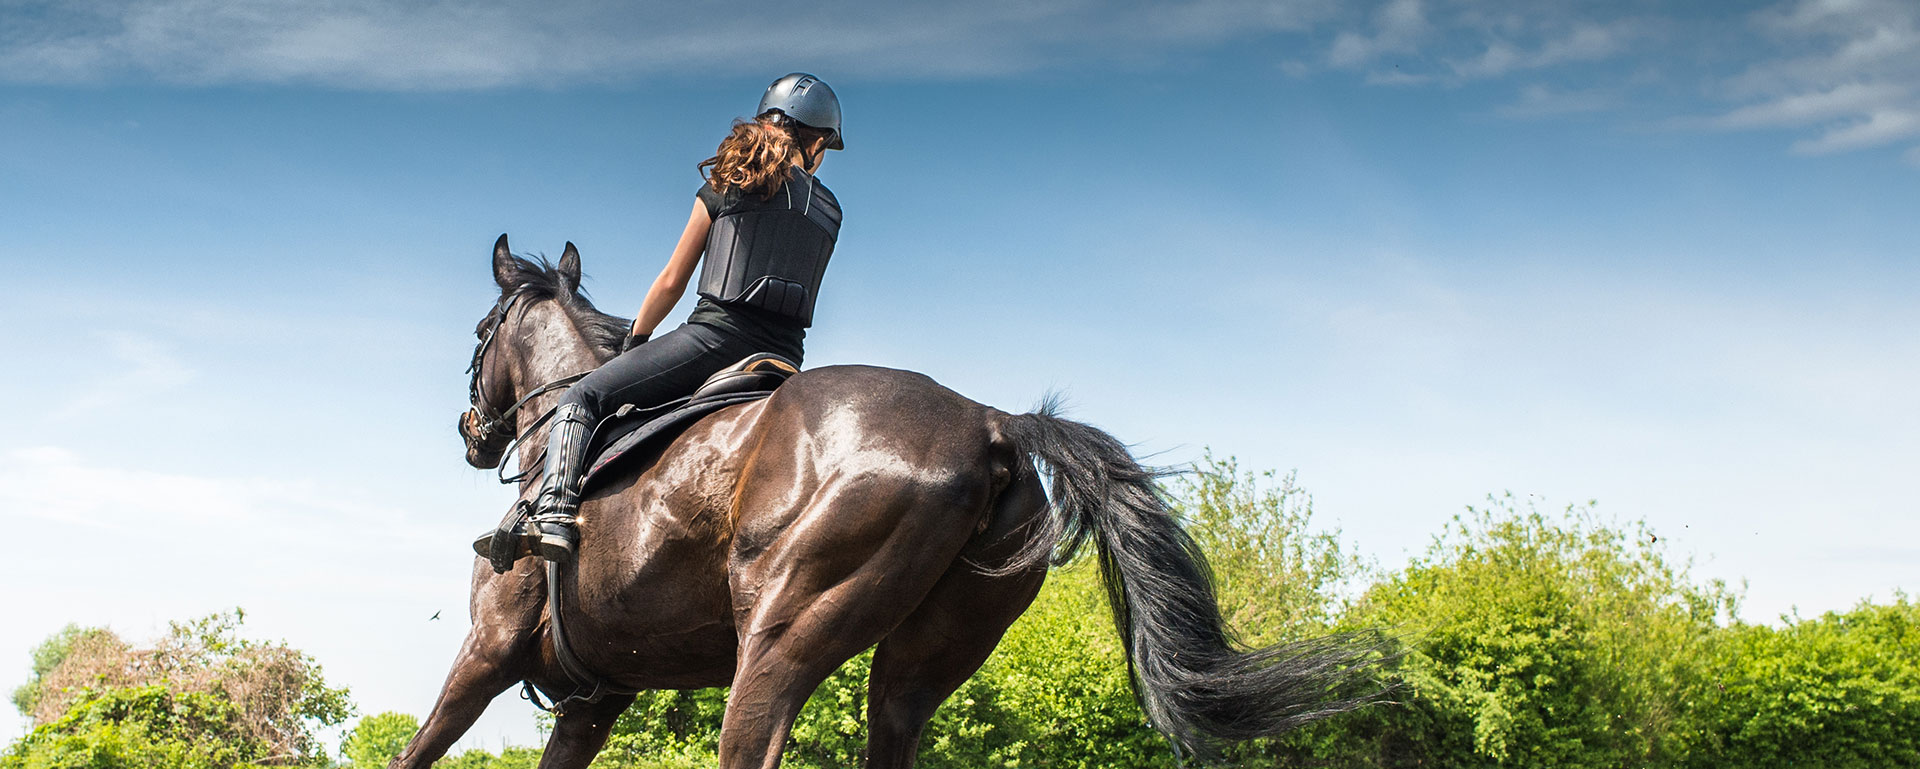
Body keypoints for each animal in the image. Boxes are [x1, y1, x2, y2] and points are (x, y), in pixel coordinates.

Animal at [392, 234, 1382, 769]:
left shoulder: (485, 653)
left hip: (781, 638)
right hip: (916, 668)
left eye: (479, 331)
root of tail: (990, 421)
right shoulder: (598, 697)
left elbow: (418, 748)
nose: (472, 430)